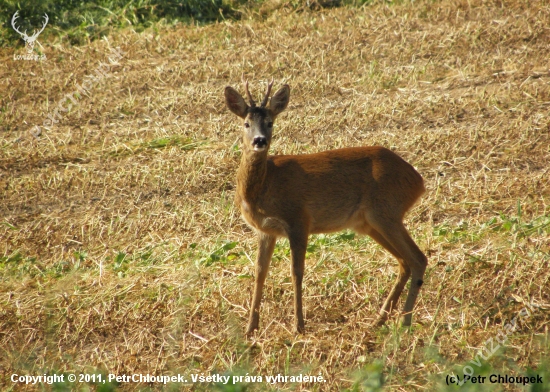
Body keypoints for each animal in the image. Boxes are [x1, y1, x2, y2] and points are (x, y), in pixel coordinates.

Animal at [226, 79, 430, 334]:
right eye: (246, 123)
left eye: (270, 122)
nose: (260, 140)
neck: (263, 186)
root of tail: (418, 181)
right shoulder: (265, 231)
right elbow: (259, 273)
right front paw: (250, 328)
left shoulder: (299, 220)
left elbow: (296, 272)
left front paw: (299, 326)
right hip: (370, 223)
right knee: (405, 262)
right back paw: (379, 320)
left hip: (387, 212)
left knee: (418, 258)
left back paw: (404, 322)